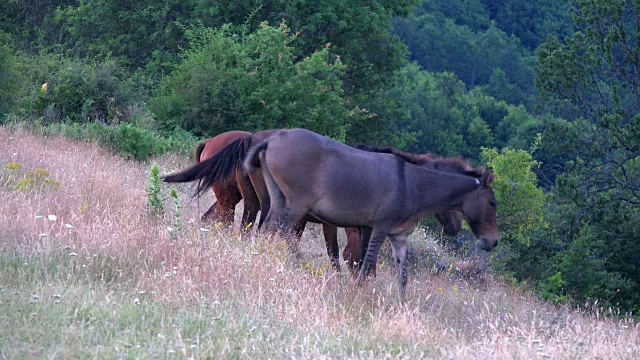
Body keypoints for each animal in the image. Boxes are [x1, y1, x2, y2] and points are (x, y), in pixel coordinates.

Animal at [242, 129, 498, 298]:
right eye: (493, 203)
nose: (493, 242)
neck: (412, 185)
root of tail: (271, 139)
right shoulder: (378, 228)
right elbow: (366, 266)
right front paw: (358, 295)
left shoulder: (398, 236)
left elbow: (402, 276)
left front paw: (402, 307)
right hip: (296, 206)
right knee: (275, 233)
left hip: (279, 201)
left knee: (268, 233)